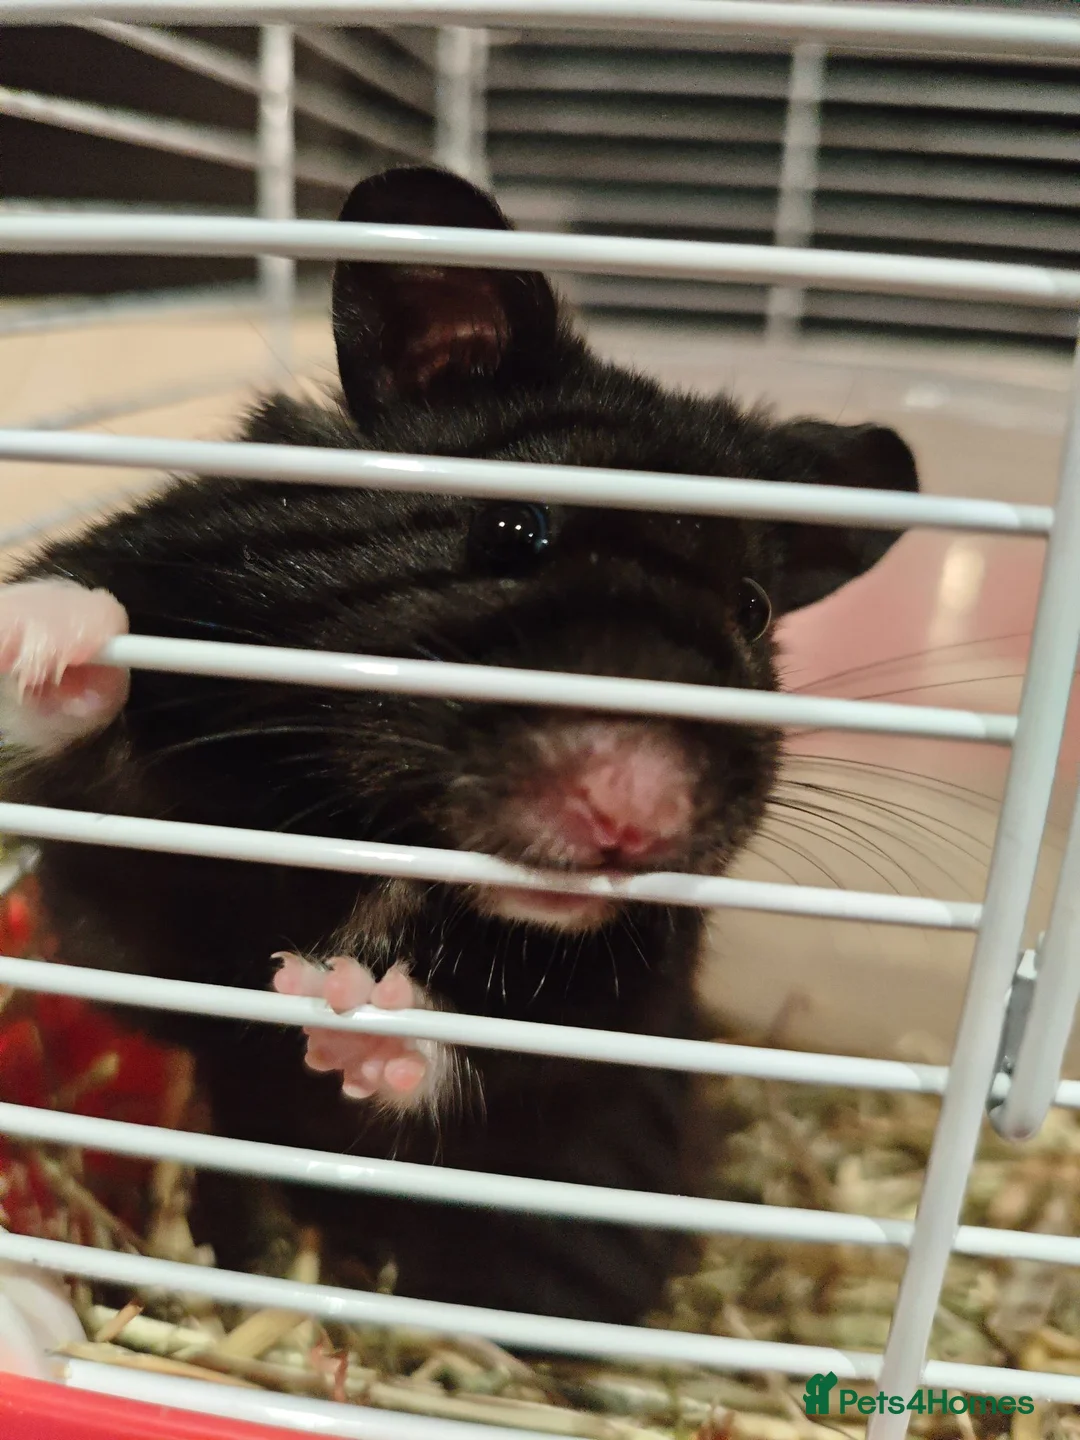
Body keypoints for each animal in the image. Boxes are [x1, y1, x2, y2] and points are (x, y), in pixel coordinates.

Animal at [0, 166, 919, 1327]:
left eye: (753, 611)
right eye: (513, 532)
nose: (634, 813)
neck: (391, 833)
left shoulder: (621, 1008)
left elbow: (491, 1059)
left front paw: (341, 1003)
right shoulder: (135, 871)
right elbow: (97, 718)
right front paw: (46, 630)